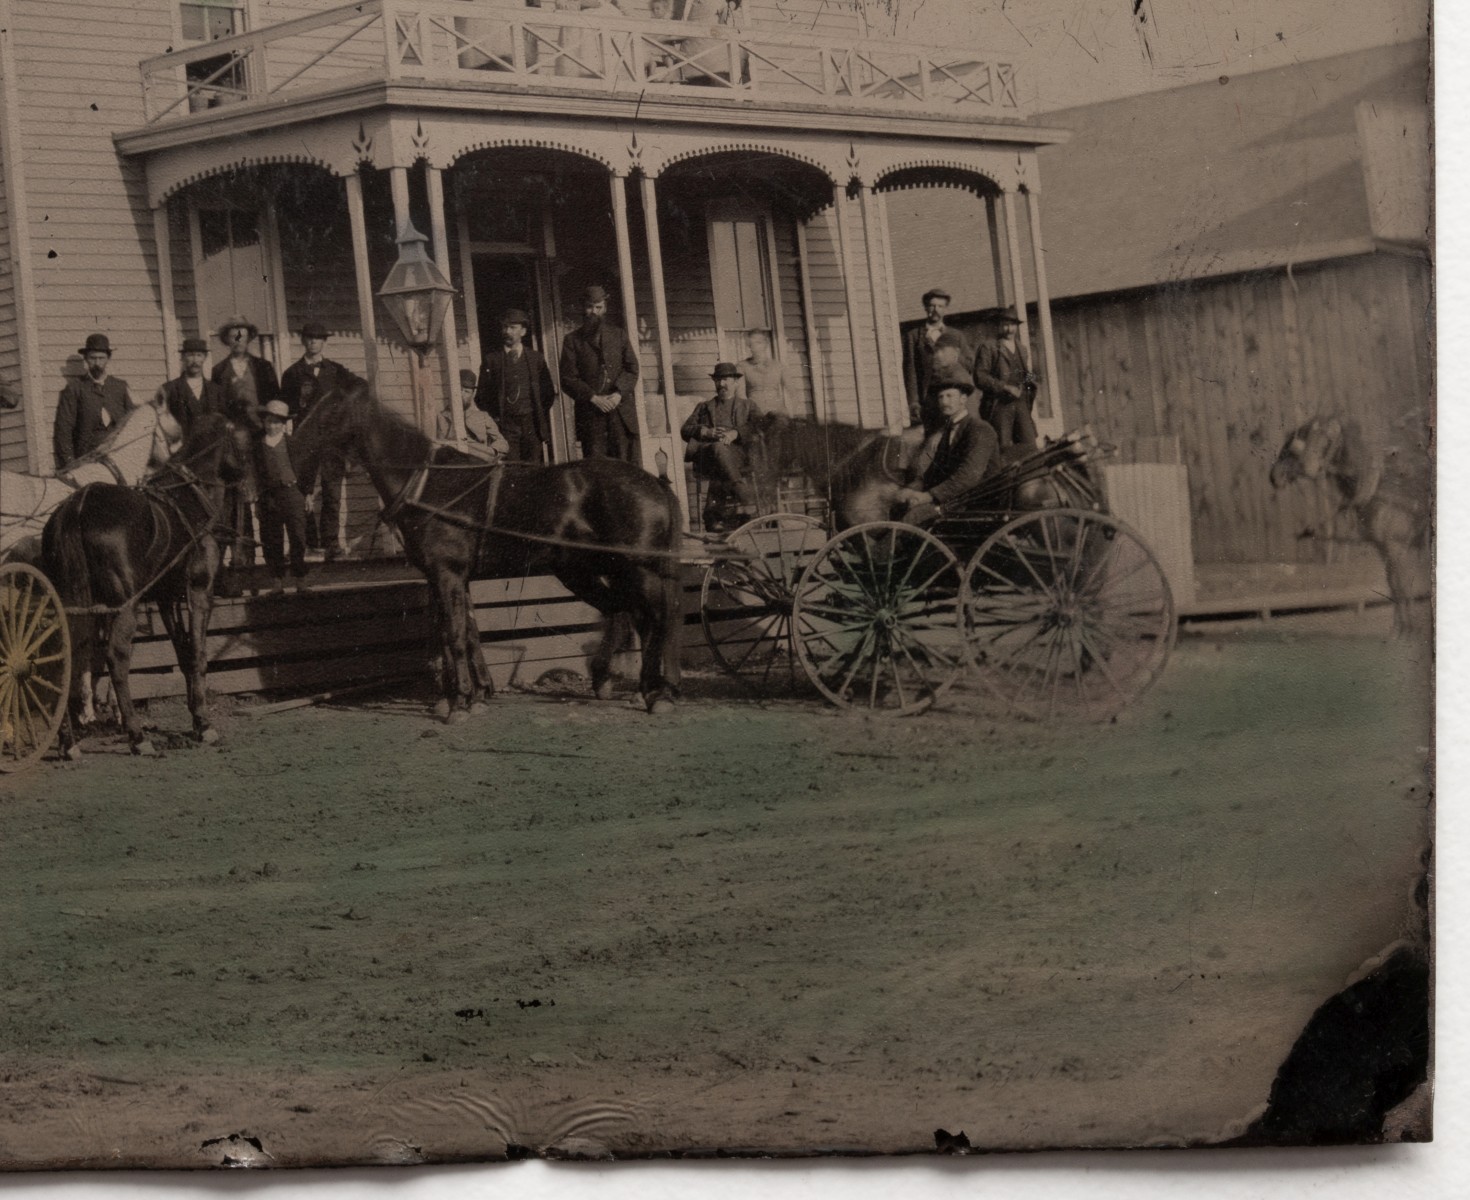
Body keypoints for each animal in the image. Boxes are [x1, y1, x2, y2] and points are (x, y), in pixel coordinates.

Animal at [41, 411, 242, 750]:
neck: (188, 496)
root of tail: (77, 506)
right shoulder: (199, 591)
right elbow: (198, 654)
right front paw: (203, 721)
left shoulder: (166, 597)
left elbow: (183, 653)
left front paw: (195, 716)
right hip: (124, 604)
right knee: (117, 657)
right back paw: (136, 734)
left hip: (72, 601)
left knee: (64, 657)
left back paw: (68, 740)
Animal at [289, 385, 685, 720]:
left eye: (329, 409)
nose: (294, 449)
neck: (427, 482)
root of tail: (655, 483)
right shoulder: (450, 577)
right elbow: (464, 633)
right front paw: (472, 695)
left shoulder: (447, 573)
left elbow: (453, 634)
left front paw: (460, 701)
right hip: (589, 570)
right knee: (626, 611)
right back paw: (620, 682)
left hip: (636, 569)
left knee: (658, 616)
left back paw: (659, 693)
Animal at [1270, 408, 1428, 638]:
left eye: (1326, 440)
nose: (1275, 475)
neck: (1381, 484)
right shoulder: (1384, 548)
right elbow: (1394, 585)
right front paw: (1398, 629)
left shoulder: (1397, 546)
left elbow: (1403, 584)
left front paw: (1408, 630)